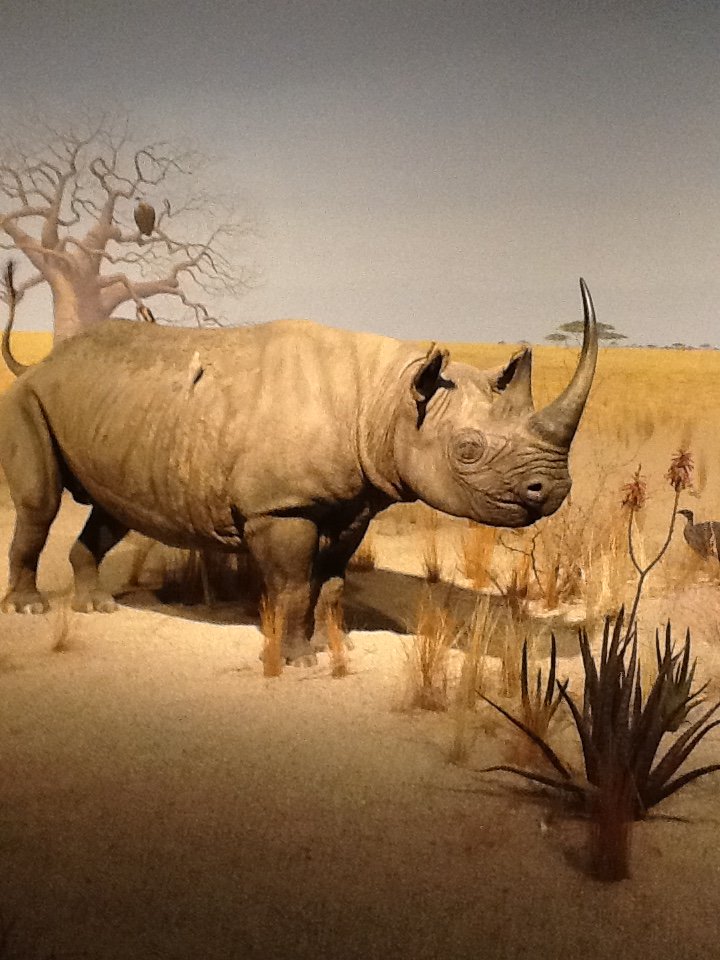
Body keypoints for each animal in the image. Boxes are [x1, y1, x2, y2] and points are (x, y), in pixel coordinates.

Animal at [0, 273, 597, 665]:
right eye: (468, 449)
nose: (554, 488)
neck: (386, 399)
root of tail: (45, 362)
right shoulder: (279, 506)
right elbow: (289, 586)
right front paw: (297, 662)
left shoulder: (355, 502)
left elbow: (327, 583)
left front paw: (334, 647)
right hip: (28, 398)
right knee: (41, 505)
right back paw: (30, 609)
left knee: (113, 510)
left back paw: (96, 607)